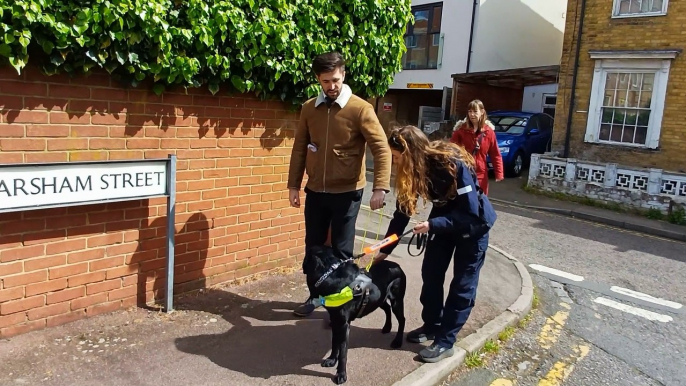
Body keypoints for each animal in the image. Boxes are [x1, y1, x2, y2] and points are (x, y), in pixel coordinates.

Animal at [304, 246, 406, 384]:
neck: (331, 275)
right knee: (387, 308)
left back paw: (397, 341)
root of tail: (397, 266)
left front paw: (341, 375)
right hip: (379, 299)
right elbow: (334, 342)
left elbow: (343, 351)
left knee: (402, 319)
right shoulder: (335, 320)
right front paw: (331, 359)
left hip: (397, 300)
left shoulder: (343, 324)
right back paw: (387, 327)